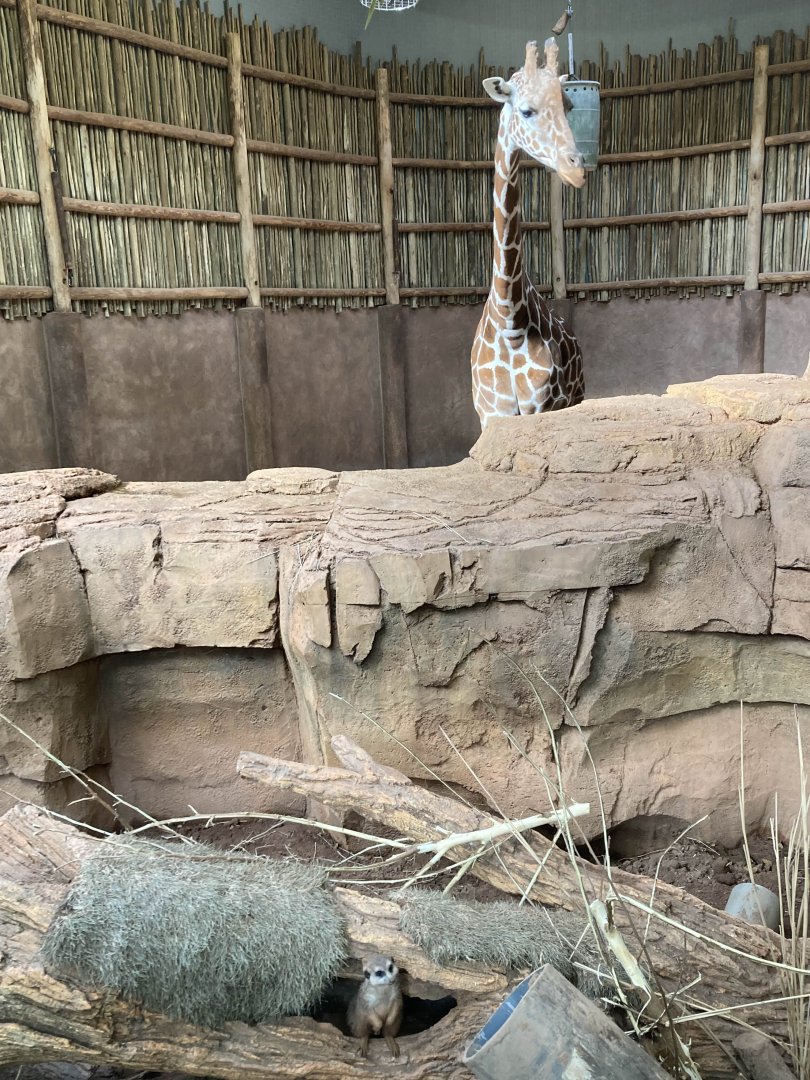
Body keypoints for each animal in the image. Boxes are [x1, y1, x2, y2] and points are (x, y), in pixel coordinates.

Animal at [471, 38, 586, 429]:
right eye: (526, 110)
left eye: (569, 106)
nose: (576, 169)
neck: (510, 320)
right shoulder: (492, 413)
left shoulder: (540, 408)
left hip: (574, 399)